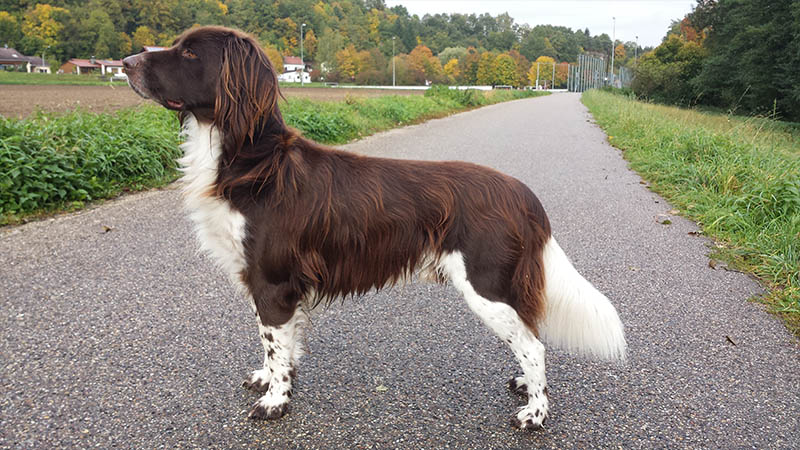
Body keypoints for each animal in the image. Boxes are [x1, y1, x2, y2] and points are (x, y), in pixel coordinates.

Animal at [123, 26, 624, 430]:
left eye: (190, 53)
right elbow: (278, 345)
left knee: (534, 345)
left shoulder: (273, 281)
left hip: (486, 285)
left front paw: (275, 402)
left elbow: (276, 345)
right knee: (529, 337)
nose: (127, 62)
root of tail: (524, 195)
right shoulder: (265, 282)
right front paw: (269, 380)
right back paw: (525, 385)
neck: (252, 162)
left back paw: (535, 413)